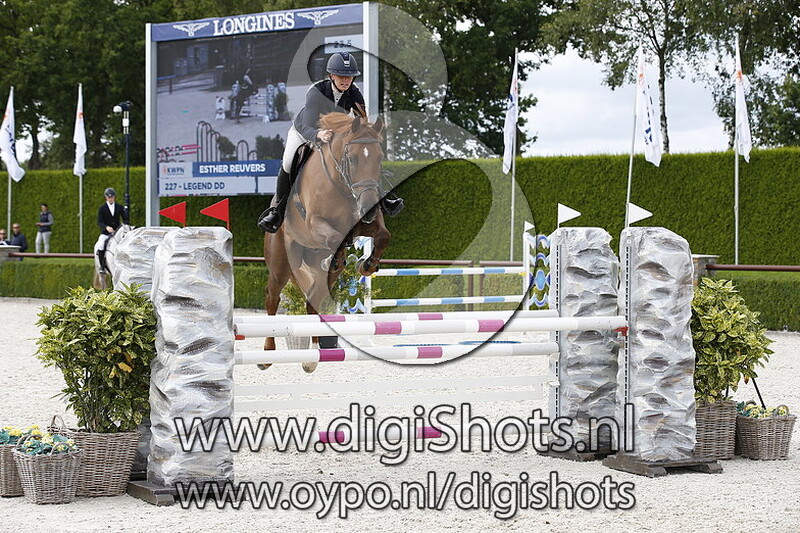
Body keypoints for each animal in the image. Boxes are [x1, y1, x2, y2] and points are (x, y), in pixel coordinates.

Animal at [263, 113, 392, 372]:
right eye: (351, 159)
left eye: (379, 158)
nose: (369, 208)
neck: (341, 184)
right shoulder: (315, 222)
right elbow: (333, 237)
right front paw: (342, 257)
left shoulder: (366, 223)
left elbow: (383, 235)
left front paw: (367, 265)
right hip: (281, 264)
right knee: (273, 298)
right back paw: (268, 354)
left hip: (320, 274)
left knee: (313, 301)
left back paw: (311, 357)